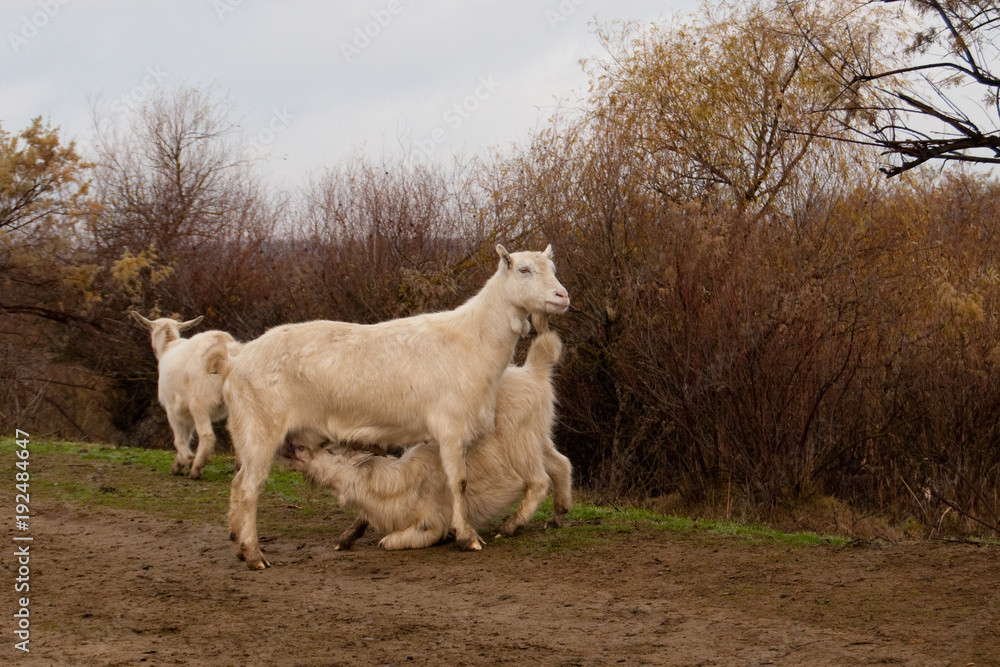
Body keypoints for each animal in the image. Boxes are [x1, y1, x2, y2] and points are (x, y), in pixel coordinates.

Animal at [131, 312, 242, 479]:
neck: (168, 346)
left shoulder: (172, 406)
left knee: (207, 435)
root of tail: (226, 347)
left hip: (200, 400)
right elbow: (187, 435)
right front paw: (178, 465)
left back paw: (196, 469)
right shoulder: (186, 411)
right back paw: (239, 469)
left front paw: (186, 460)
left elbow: (179, 437)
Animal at [279, 330, 572, 550]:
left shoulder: (431, 524)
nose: (292, 448)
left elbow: (389, 542)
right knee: (561, 465)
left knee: (539, 481)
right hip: (539, 437)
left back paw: (510, 526)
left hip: (520, 442)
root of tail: (534, 372)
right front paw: (345, 539)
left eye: (330, 451)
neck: (396, 484)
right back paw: (557, 517)